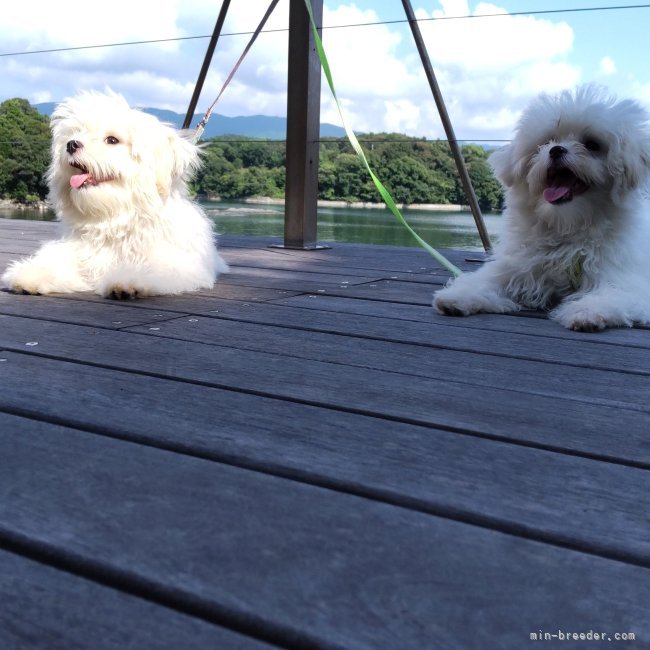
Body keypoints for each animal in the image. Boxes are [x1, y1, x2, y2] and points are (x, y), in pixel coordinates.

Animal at [1, 90, 227, 298]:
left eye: (112, 140)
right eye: (76, 133)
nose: (71, 144)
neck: (114, 218)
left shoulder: (177, 262)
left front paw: (127, 281)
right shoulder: (79, 254)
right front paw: (32, 274)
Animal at [432, 85, 648, 330]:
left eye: (592, 145)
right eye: (547, 141)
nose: (556, 150)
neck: (567, 225)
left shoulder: (623, 278)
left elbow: (611, 294)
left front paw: (586, 312)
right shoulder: (516, 267)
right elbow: (486, 281)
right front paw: (456, 297)